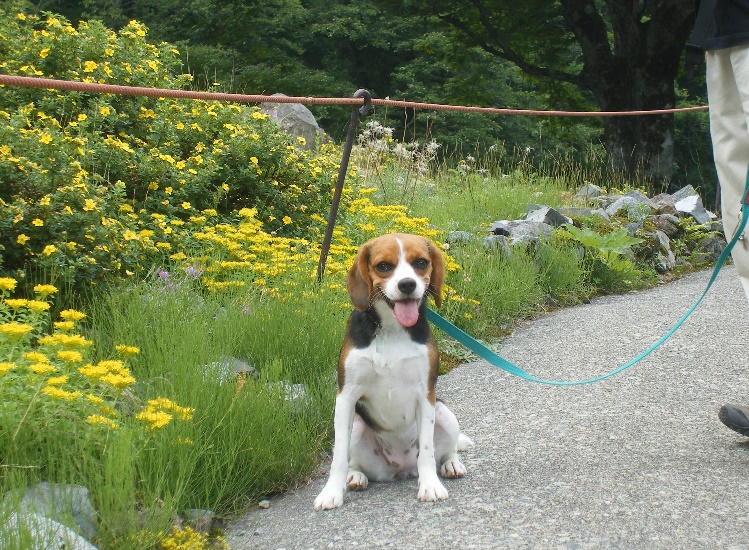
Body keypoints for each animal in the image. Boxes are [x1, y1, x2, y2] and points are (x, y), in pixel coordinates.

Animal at [312, 233, 470, 512]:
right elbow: (338, 456)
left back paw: (451, 464)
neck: (392, 329)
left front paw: (430, 486)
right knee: (353, 462)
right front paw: (331, 493)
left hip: (444, 413)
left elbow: (427, 451)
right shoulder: (345, 397)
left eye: (421, 262)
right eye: (383, 266)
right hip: (357, 424)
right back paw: (356, 477)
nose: (407, 285)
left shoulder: (425, 394)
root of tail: (401, 468)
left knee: (445, 451)